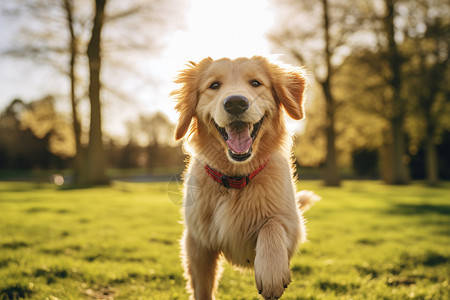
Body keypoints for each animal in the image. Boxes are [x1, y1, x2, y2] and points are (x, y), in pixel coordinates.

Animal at [172, 56, 320, 300]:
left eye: (255, 83)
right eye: (214, 85)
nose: (235, 103)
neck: (235, 178)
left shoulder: (292, 223)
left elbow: (272, 224)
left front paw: (271, 272)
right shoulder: (198, 244)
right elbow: (202, 289)